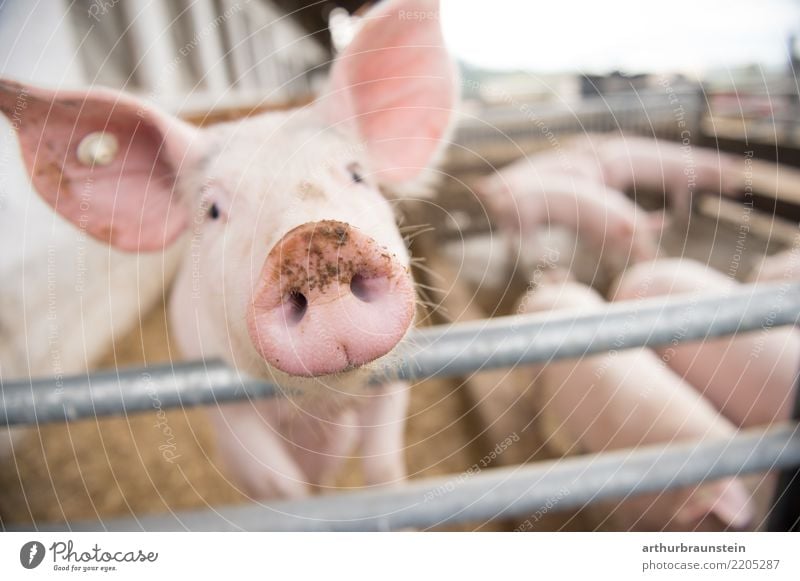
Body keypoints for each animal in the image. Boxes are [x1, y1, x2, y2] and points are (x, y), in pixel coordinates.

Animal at [0, 0, 460, 498]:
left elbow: (383, 466)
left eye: (357, 174)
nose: (309, 239)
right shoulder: (223, 399)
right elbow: (281, 485)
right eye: (214, 210)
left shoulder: (395, 376)